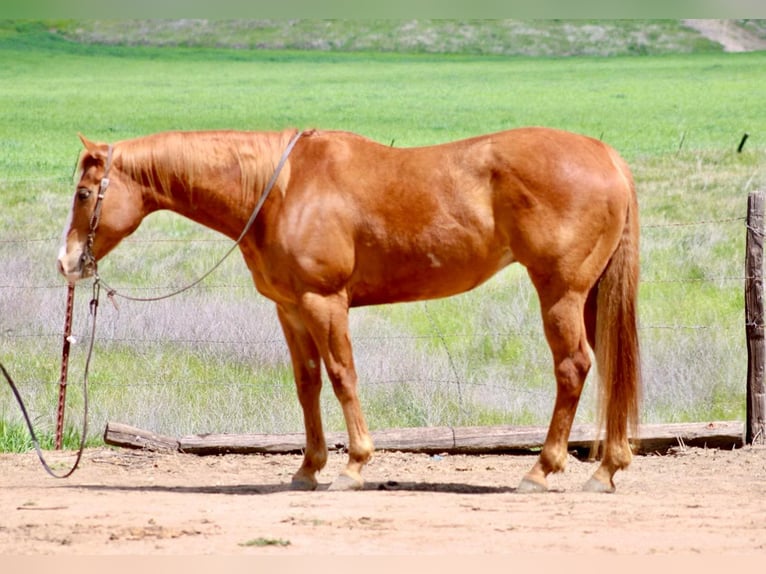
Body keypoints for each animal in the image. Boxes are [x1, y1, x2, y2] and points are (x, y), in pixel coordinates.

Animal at [57, 127, 641, 493]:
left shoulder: (325, 303)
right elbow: (308, 383)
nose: (67, 262)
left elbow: (342, 376)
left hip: (560, 293)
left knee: (574, 368)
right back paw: (606, 470)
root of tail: (607, 156)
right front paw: (308, 469)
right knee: (610, 369)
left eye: (85, 193)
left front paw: (353, 466)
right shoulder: (291, 310)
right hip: (590, 296)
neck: (281, 189)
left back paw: (542, 470)